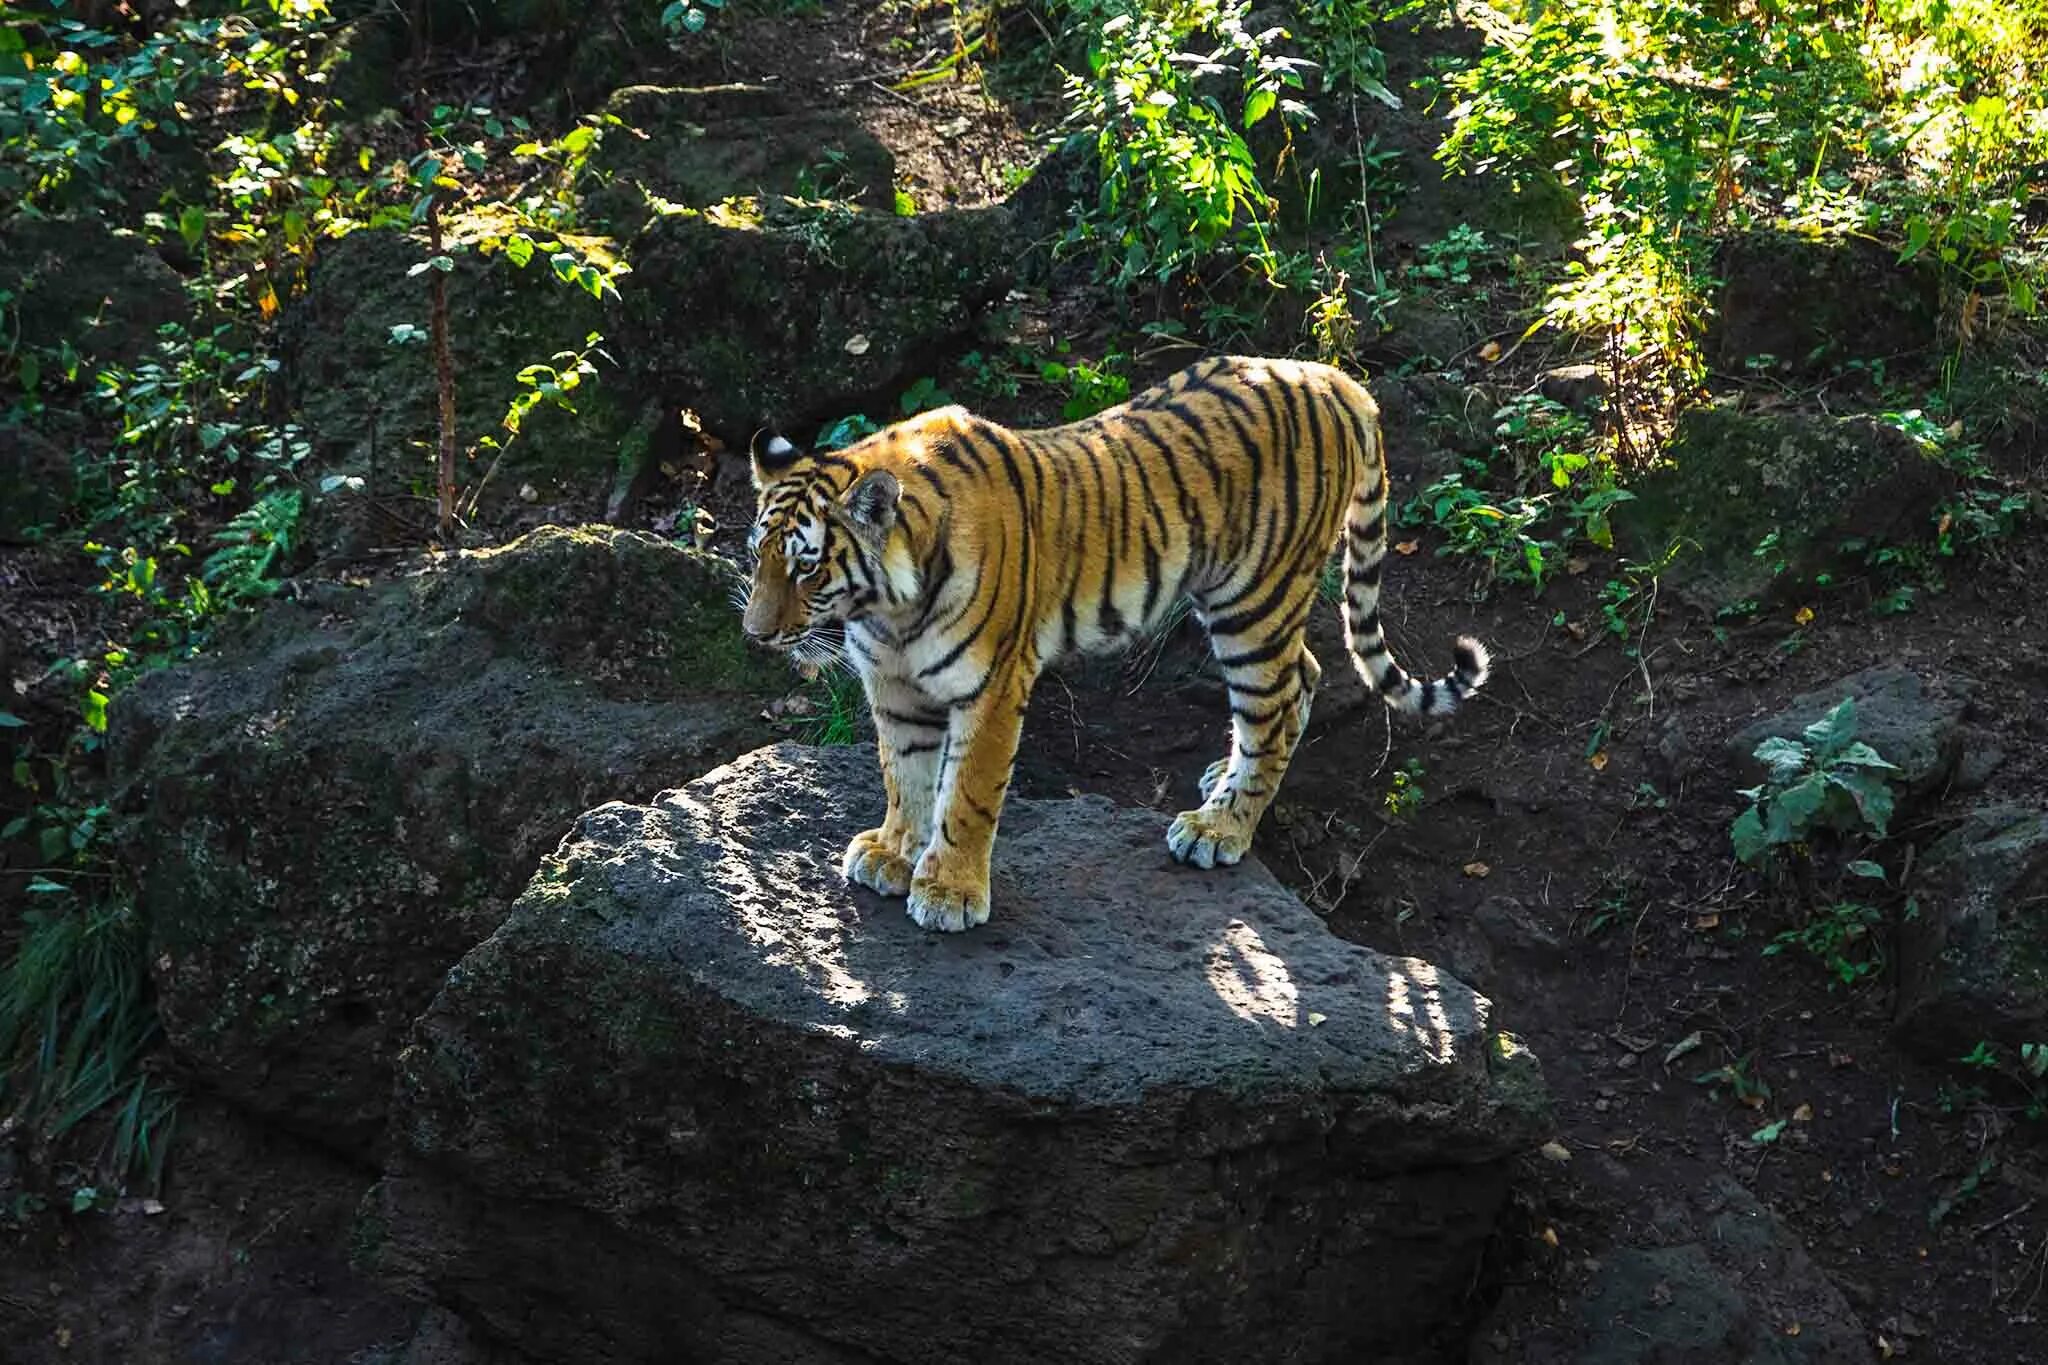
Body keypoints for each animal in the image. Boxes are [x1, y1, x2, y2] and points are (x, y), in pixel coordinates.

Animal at [741, 351, 1490, 933]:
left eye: (807, 566)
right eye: (757, 555)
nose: (755, 634)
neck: (886, 611)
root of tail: (1333, 378)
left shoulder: (993, 686)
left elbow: (967, 791)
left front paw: (950, 889)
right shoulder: (894, 686)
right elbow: (906, 776)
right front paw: (895, 853)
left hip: (1254, 600)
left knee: (1274, 704)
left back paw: (1218, 828)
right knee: (1299, 678)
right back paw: (1222, 783)